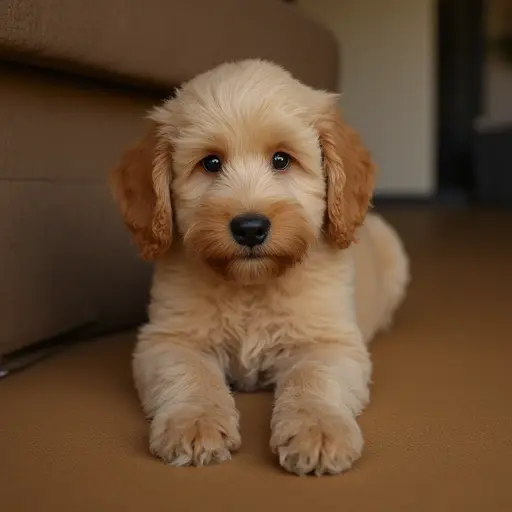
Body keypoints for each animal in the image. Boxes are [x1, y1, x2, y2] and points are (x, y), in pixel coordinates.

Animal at [110, 59, 410, 476]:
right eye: (211, 163)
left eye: (281, 160)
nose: (250, 228)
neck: (252, 286)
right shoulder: (168, 338)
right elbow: (190, 374)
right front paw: (196, 423)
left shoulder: (329, 341)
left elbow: (313, 378)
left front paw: (318, 430)